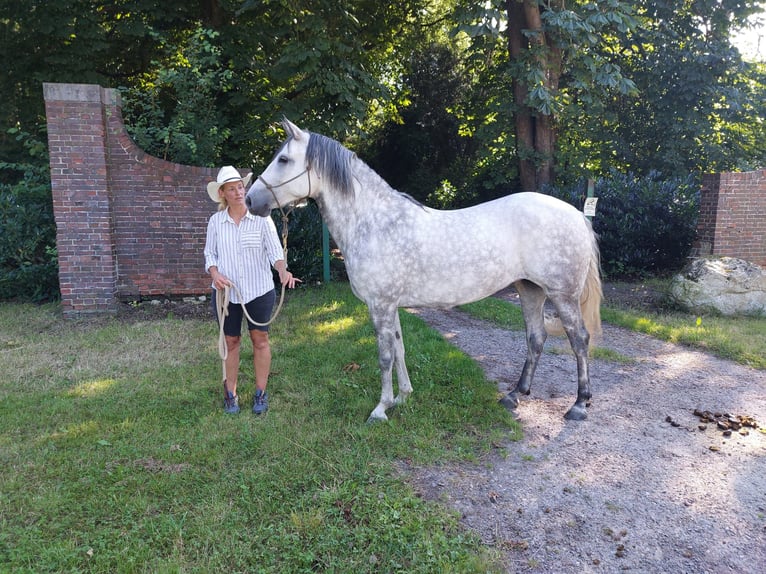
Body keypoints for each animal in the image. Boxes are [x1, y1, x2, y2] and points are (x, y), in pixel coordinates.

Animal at [249, 119, 604, 424]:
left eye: (283, 159)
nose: (251, 200)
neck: (374, 222)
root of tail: (576, 214)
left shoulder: (380, 305)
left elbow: (385, 356)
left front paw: (380, 409)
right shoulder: (390, 306)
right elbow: (400, 348)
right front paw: (402, 397)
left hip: (562, 295)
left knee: (579, 339)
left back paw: (579, 404)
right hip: (530, 289)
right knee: (536, 338)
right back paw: (515, 395)